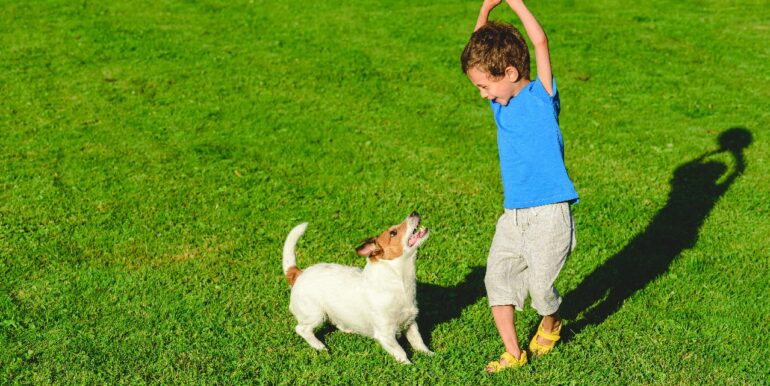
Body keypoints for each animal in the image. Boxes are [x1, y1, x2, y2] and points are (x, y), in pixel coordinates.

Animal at [280, 213, 432, 364]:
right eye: (393, 232)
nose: (414, 212)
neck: (399, 281)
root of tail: (298, 274)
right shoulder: (386, 334)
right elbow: (400, 352)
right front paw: (409, 365)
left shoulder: (410, 322)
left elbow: (418, 341)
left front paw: (429, 355)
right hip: (315, 314)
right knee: (302, 329)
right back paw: (319, 346)